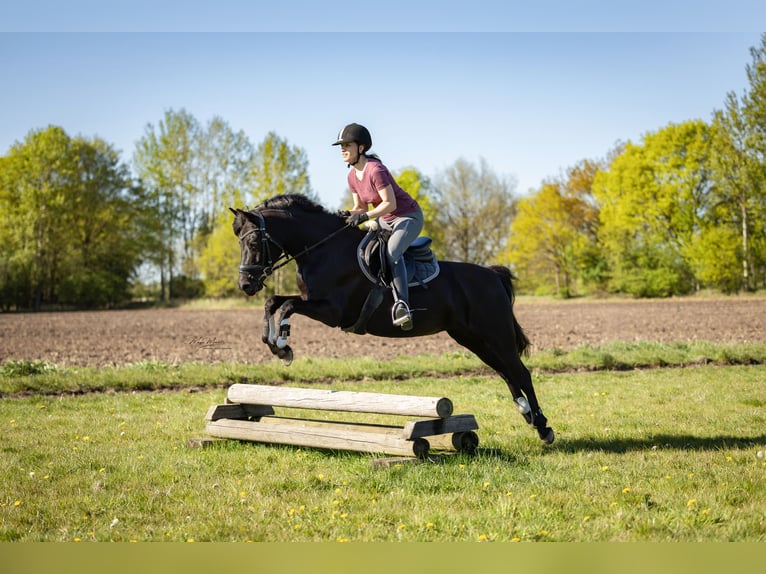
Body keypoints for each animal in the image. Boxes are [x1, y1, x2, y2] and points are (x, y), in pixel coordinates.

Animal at [230, 194, 554, 444]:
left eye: (255, 243)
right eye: (240, 244)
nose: (245, 285)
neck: (323, 249)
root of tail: (493, 275)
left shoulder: (332, 311)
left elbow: (286, 307)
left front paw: (284, 346)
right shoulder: (313, 302)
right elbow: (273, 302)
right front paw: (274, 344)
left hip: (495, 333)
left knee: (520, 372)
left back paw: (543, 427)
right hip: (472, 337)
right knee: (505, 372)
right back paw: (526, 413)